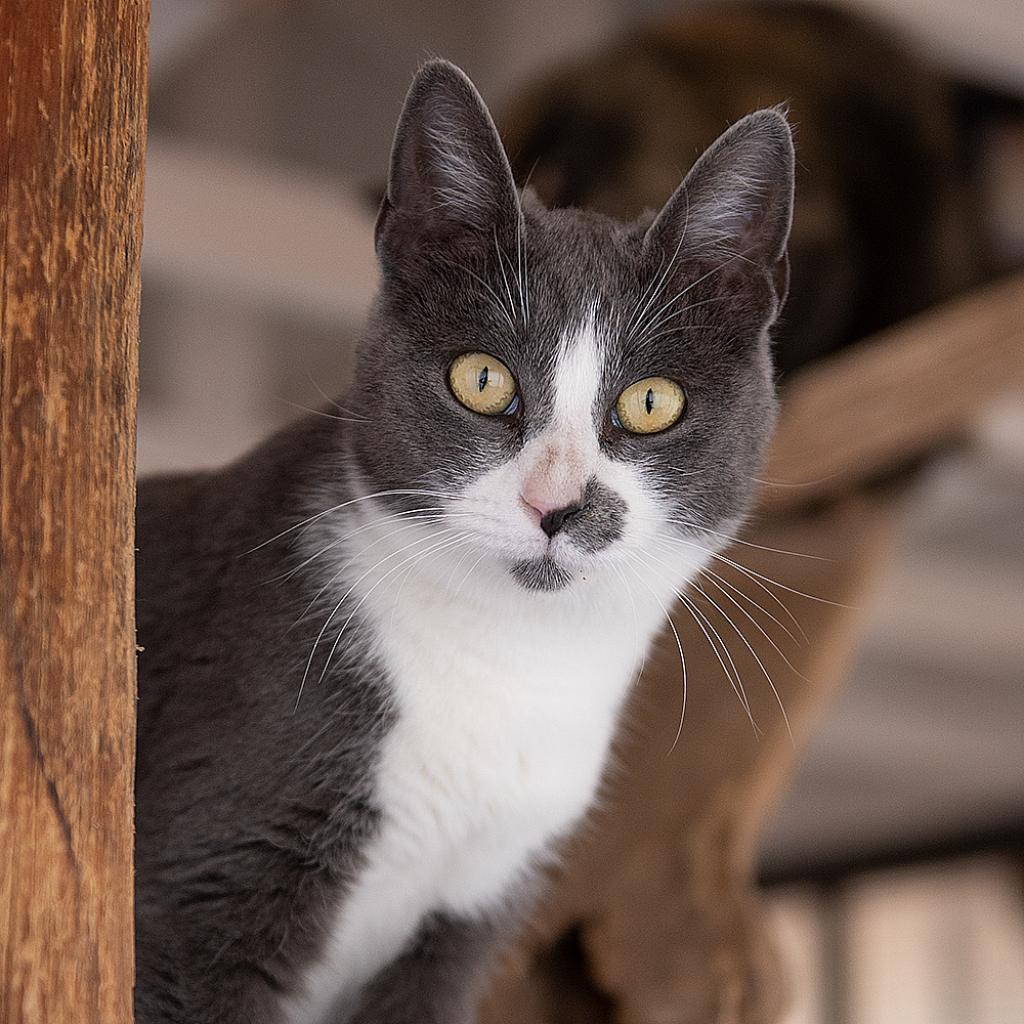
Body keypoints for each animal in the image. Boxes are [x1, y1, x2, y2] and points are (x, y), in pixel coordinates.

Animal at [134, 58, 790, 1024]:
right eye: (481, 380)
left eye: (651, 402)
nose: (558, 505)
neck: (508, 663)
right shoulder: (207, 868)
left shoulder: (475, 909)